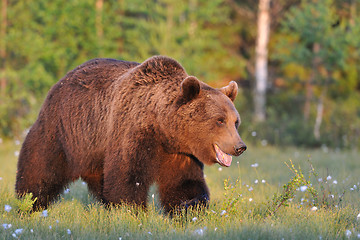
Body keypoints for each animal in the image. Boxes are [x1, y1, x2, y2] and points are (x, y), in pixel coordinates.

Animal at [16, 55, 248, 213]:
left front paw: (188, 207)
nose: (240, 146)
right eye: (219, 120)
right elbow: (127, 176)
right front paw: (131, 210)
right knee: (40, 166)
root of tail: (62, 79)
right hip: (63, 130)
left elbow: (184, 182)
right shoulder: (132, 130)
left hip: (94, 148)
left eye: (235, 121)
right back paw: (27, 202)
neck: (162, 127)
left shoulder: (180, 152)